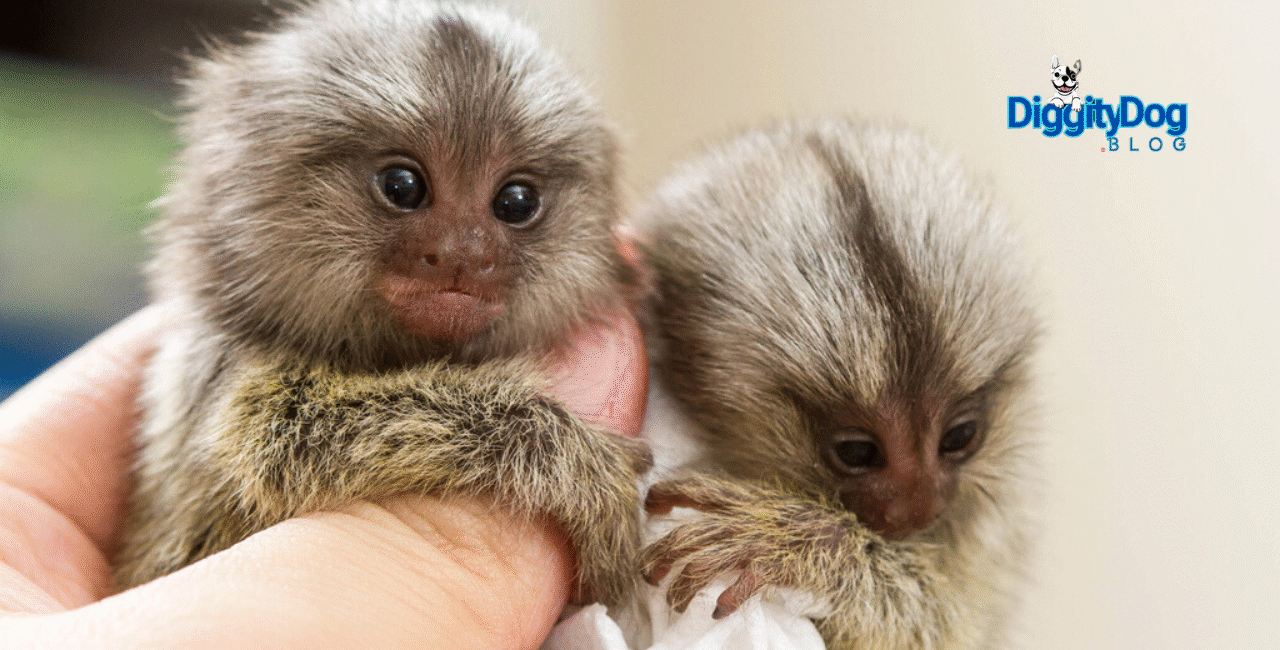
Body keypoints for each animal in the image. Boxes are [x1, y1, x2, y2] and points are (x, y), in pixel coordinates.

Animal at [113, 0, 649, 608]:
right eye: (402, 186)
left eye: (516, 201)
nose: (463, 254)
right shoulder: (221, 370)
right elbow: (279, 440)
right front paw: (575, 460)